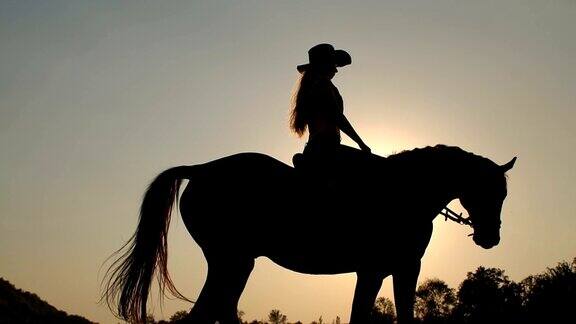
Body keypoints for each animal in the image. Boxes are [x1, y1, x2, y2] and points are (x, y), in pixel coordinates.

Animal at [101, 146, 516, 322]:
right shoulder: (383, 269)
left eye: (504, 194)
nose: (490, 238)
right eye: (488, 191)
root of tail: (201, 169)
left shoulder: (394, 269)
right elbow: (367, 318)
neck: (405, 191)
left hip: (235, 263)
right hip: (229, 259)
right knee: (205, 313)